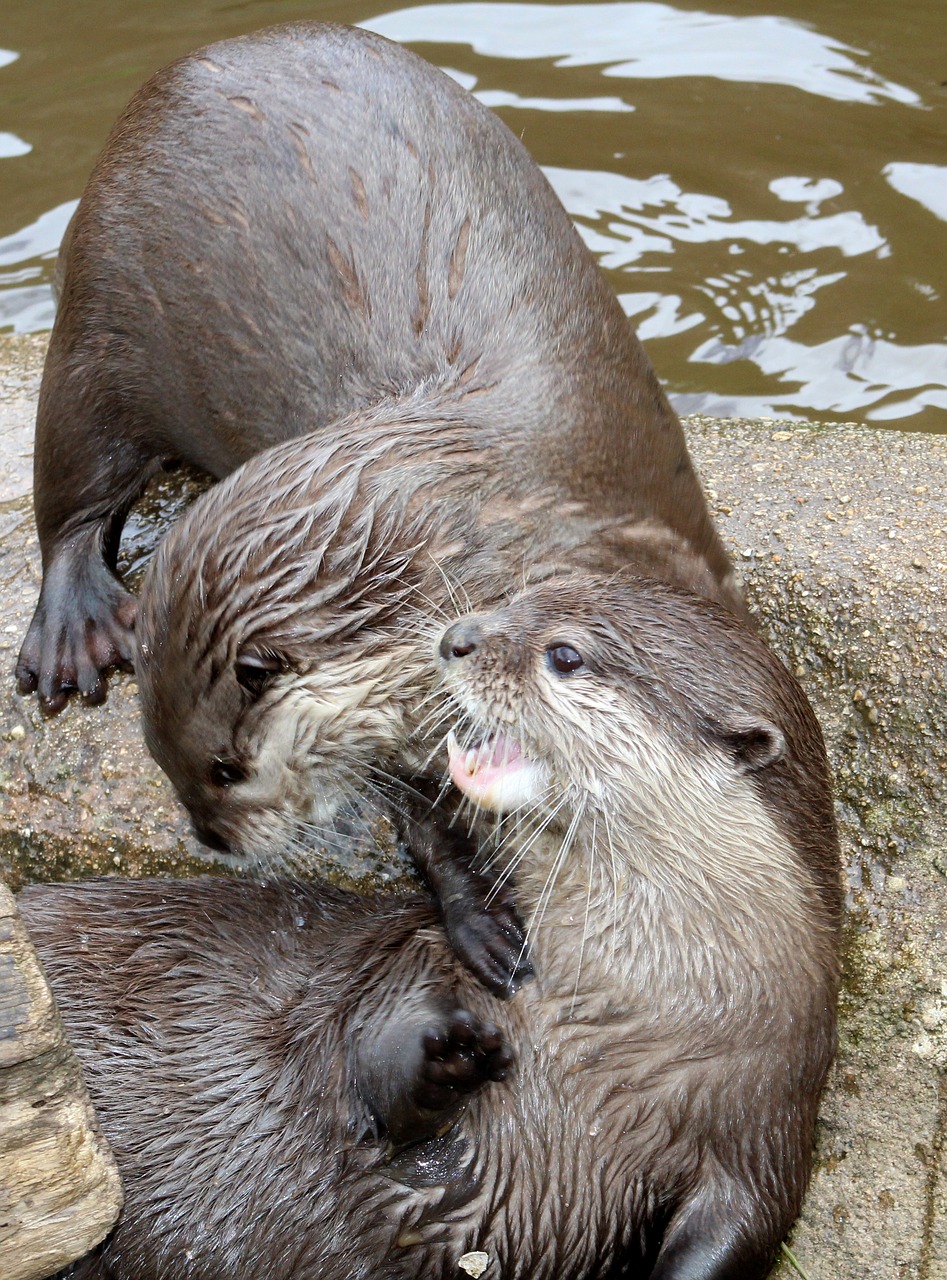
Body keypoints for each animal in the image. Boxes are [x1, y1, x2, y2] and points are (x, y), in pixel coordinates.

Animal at [20, 573, 834, 1280]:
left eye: (564, 655)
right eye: (521, 593)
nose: (458, 636)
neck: (618, 1010)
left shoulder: (765, 1130)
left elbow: (736, 1234)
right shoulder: (413, 970)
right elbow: (365, 1057)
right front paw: (449, 1048)